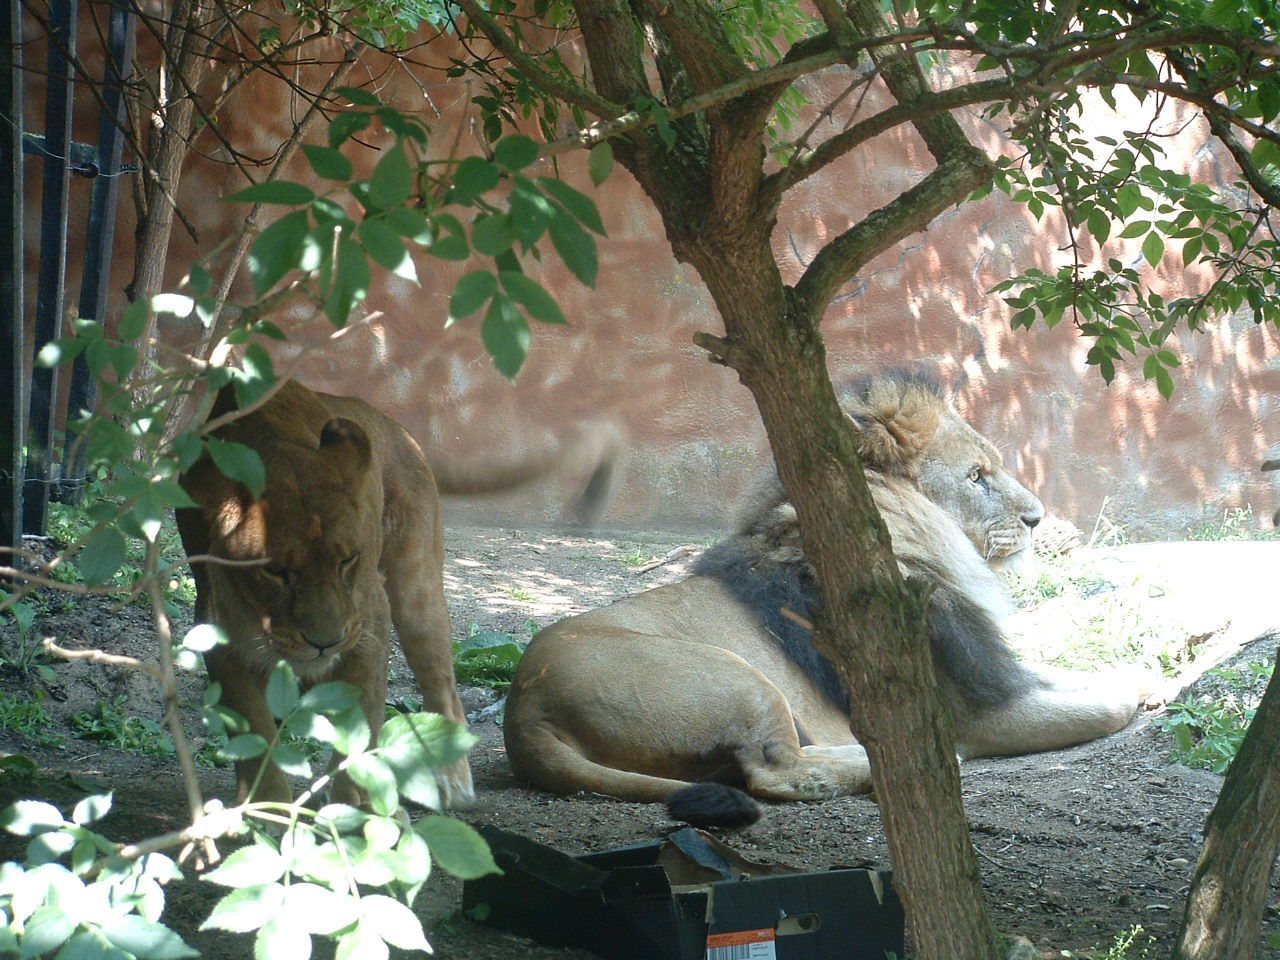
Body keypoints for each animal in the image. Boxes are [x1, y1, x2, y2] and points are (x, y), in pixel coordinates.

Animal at [177, 378, 617, 808]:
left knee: (443, 688)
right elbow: (252, 731)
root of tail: (389, 422)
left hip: (417, 589)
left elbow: (362, 716)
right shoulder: (218, 632)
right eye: (274, 571)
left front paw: (356, 804)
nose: (325, 642)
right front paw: (265, 811)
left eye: (348, 559)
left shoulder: (368, 619)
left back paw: (452, 783)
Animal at [502, 371, 1141, 826]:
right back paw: (877, 762)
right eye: (977, 476)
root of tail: (524, 708)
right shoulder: (979, 713)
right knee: (774, 774)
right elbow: (1099, 707)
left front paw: (1137, 677)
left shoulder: (993, 670)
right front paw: (1131, 693)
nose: (1037, 518)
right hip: (738, 677)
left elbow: (1063, 673)